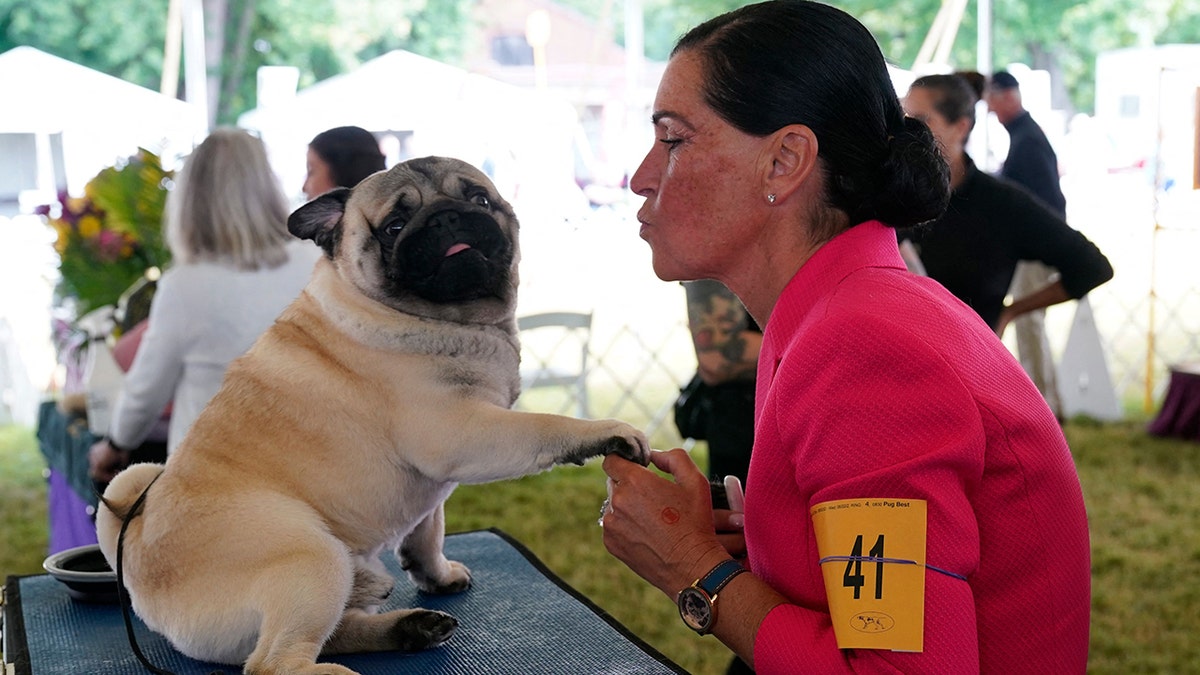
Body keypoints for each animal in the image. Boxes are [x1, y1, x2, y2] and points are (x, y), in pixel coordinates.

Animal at [97, 154, 652, 667]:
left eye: (478, 199)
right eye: (394, 226)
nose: (447, 218)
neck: (456, 322)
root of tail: (138, 559)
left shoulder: (438, 481)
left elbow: (429, 531)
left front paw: (436, 575)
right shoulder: (465, 432)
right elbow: (546, 426)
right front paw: (607, 431)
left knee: (330, 633)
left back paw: (408, 629)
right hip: (314, 559)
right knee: (275, 662)